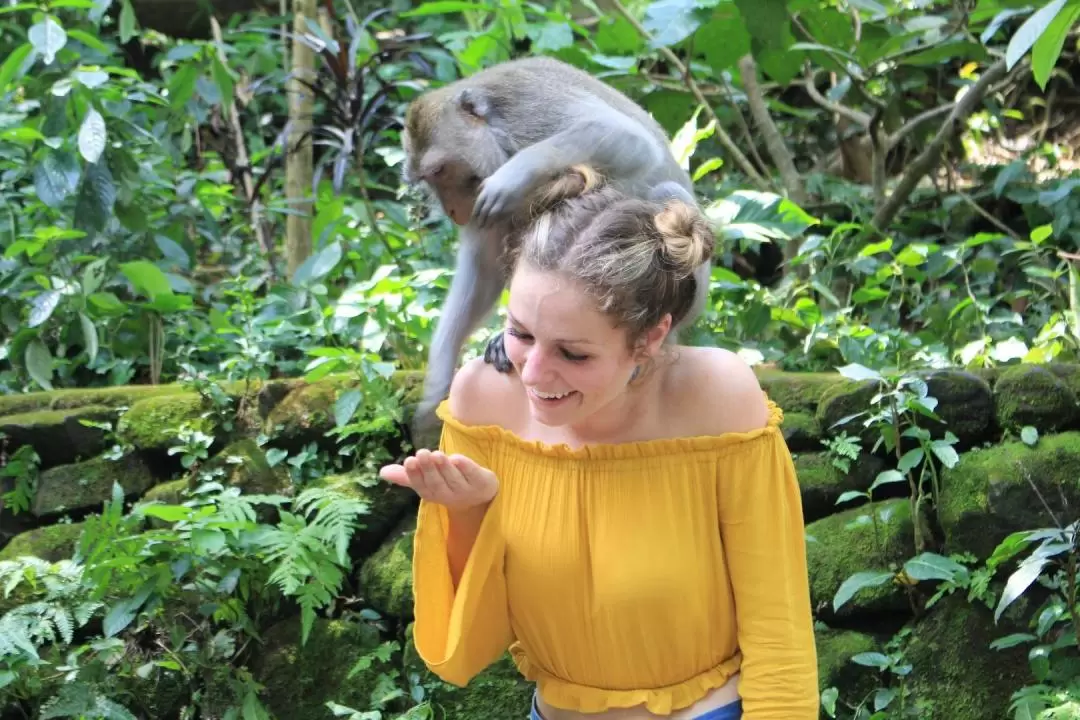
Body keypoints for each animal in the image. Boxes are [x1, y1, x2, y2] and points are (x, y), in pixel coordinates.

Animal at [401, 56, 712, 436]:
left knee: (667, 193)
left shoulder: (530, 114)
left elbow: (628, 138)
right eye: (430, 180)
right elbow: (483, 271)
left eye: (441, 171)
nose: (453, 210)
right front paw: (437, 387)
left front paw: (515, 175)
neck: (500, 136)